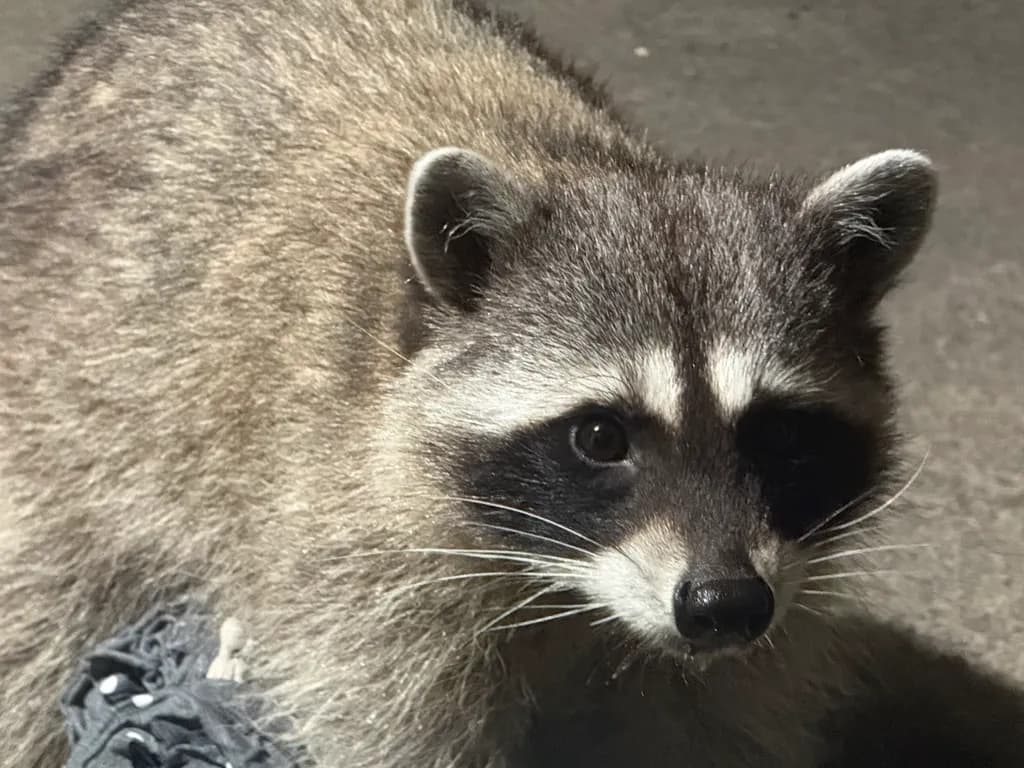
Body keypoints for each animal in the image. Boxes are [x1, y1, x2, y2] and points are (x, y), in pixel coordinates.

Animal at [2, 0, 1012, 766]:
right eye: (601, 438)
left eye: (780, 436)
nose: (722, 606)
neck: (577, 595)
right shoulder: (353, 567)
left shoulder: (779, 601)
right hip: (56, 427)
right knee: (34, 635)